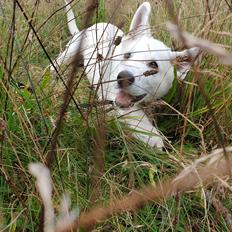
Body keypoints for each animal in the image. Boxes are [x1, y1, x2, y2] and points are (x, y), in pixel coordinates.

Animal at [51, 1, 199, 149]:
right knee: (54, 65)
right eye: (127, 55)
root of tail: (92, 27)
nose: (123, 77)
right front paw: (152, 136)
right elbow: (136, 117)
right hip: (69, 54)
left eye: (154, 65)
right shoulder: (111, 97)